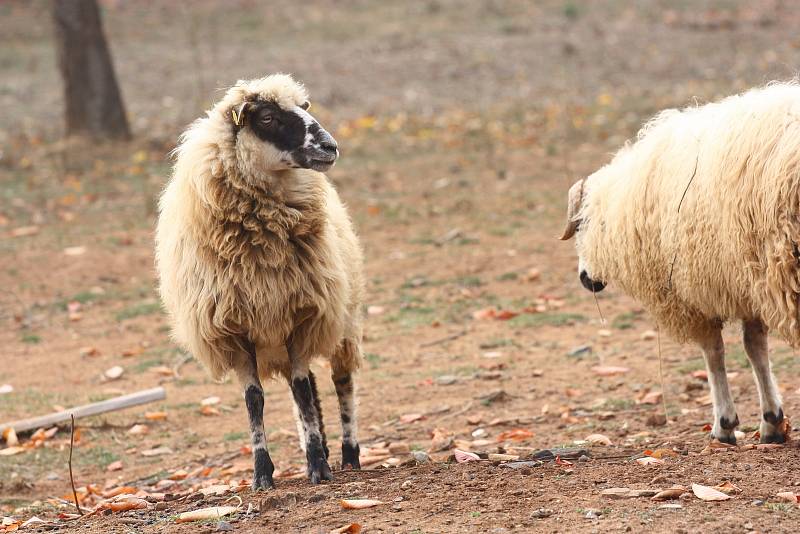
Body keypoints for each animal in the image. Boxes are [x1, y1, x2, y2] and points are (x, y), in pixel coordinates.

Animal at [155, 74, 366, 490]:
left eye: (305, 106)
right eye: (267, 117)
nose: (330, 147)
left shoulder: (302, 314)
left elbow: (302, 389)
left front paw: (318, 468)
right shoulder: (234, 330)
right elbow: (255, 399)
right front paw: (262, 472)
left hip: (341, 316)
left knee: (341, 380)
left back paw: (348, 455)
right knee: (312, 388)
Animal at [560, 81, 800, 446]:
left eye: (581, 225)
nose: (586, 279)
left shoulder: (694, 292)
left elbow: (713, 353)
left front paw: (724, 424)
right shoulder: (745, 275)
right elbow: (755, 346)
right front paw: (772, 421)